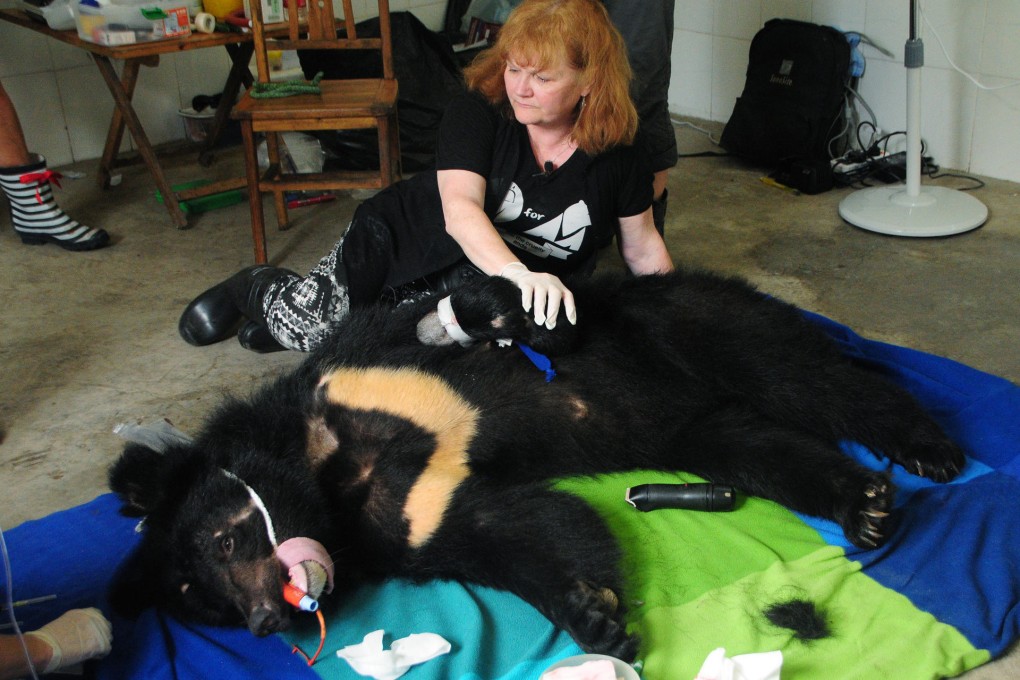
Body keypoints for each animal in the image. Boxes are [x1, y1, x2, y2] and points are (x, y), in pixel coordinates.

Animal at [109, 269, 962, 660]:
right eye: (202, 601)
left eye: (224, 541)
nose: (265, 619)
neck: (321, 470)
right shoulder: (398, 512)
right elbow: (508, 527)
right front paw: (593, 613)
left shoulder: (360, 370)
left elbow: (433, 318)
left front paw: (502, 309)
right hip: (695, 432)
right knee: (765, 448)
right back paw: (863, 503)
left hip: (699, 321)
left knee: (809, 377)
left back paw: (929, 448)